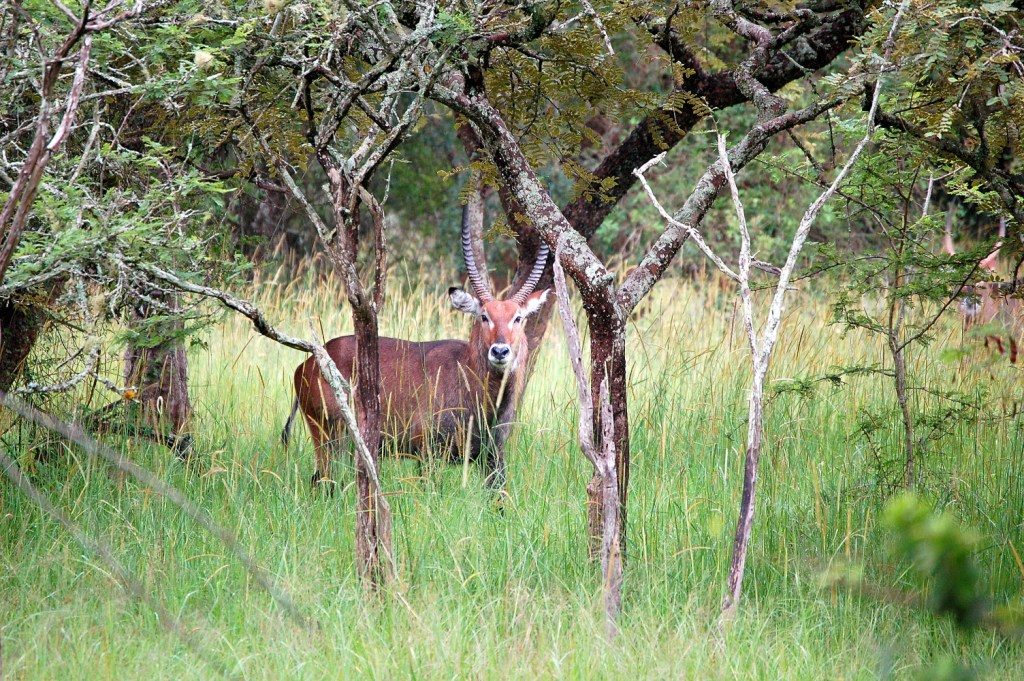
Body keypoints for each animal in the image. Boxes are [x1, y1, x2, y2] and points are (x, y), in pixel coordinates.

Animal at [280, 205, 548, 489]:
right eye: (484, 316)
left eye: (518, 317)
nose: (499, 351)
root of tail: (307, 363)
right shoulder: (427, 452)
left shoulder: (494, 456)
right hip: (328, 437)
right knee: (322, 481)